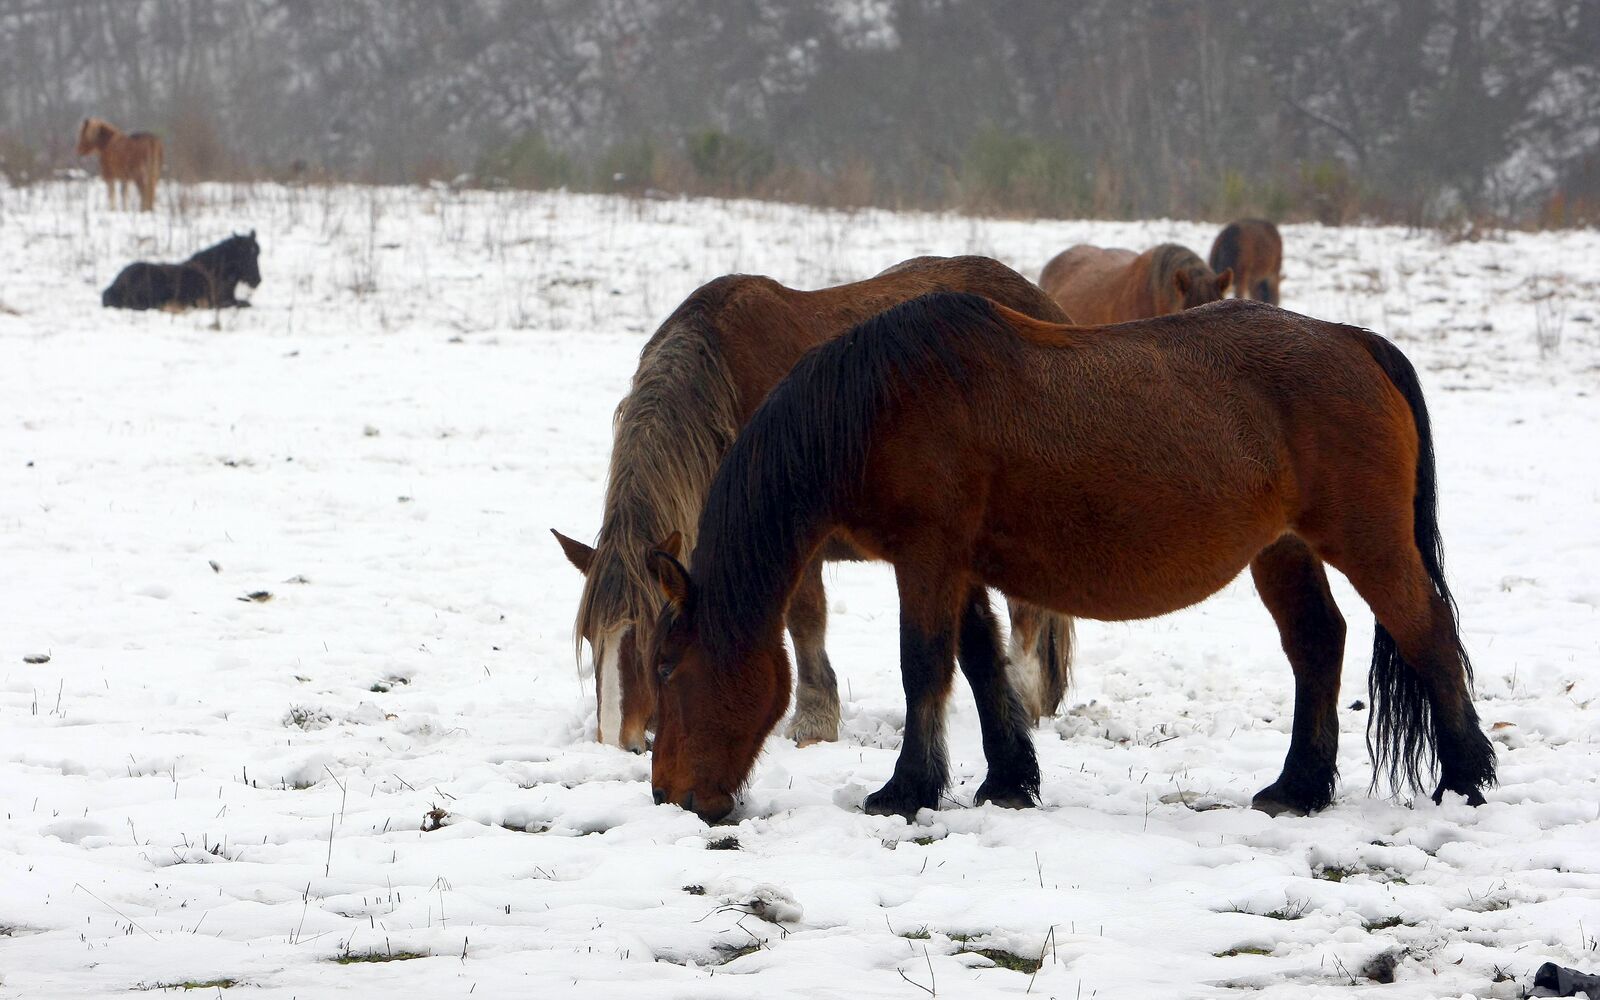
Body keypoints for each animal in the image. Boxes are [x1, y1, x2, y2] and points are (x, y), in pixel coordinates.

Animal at [100, 232, 259, 310]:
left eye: (257, 253)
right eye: (243, 254)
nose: (257, 280)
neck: (214, 274)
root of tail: (115, 285)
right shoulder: (217, 303)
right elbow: (244, 304)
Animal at [550, 252, 1075, 752]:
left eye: (644, 636)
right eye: (590, 639)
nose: (618, 741)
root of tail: (1047, 307)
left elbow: (804, 622)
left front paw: (814, 720)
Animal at [643, 292, 1491, 825]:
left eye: (669, 671)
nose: (670, 796)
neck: (880, 404)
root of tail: (1357, 343)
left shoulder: (928, 558)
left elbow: (925, 666)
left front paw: (907, 791)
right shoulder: (962, 567)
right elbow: (982, 664)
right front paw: (1008, 780)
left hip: (1367, 543)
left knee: (1428, 634)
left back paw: (1464, 781)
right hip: (1282, 552)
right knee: (1318, 645)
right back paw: (1298, 788)